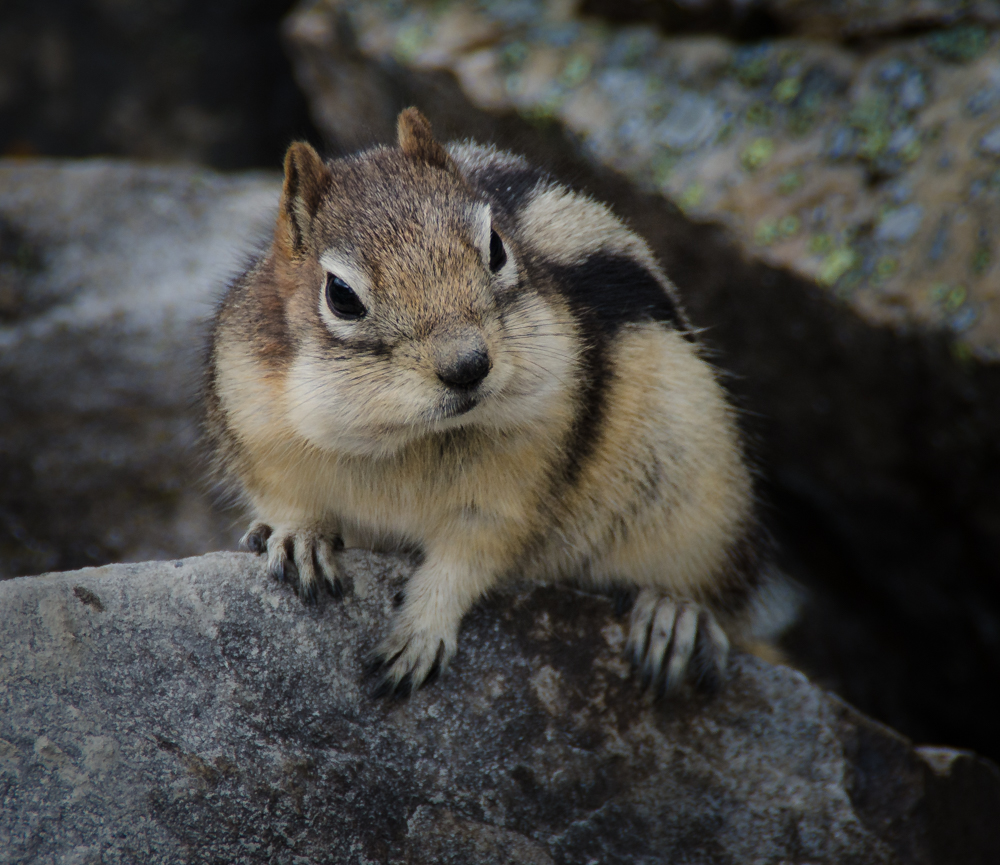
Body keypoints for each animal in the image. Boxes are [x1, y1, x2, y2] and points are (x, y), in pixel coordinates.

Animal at [204, 107, 791, 698]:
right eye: (341, 296)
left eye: (497, 248)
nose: (468, 365)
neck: (408, 437)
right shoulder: (259, 429)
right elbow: (288, 502)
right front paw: (299, 537)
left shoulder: (513, 492)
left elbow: (468, 560)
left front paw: (421, 630)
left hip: (699, 497)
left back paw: (674, 615)